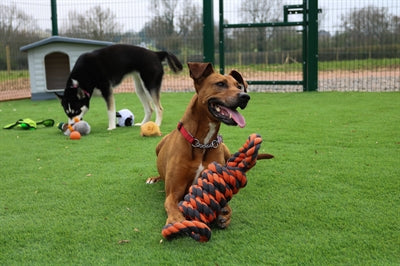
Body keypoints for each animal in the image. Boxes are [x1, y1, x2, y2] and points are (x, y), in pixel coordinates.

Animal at [147, 62, 253, 229]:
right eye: (220, 84)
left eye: (239, 86)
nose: (245, 97)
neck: (202, 143)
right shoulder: (173, 192)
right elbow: (172, 205)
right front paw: (177, 220)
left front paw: (224, 212)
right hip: (158, 145)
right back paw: (154, 178)